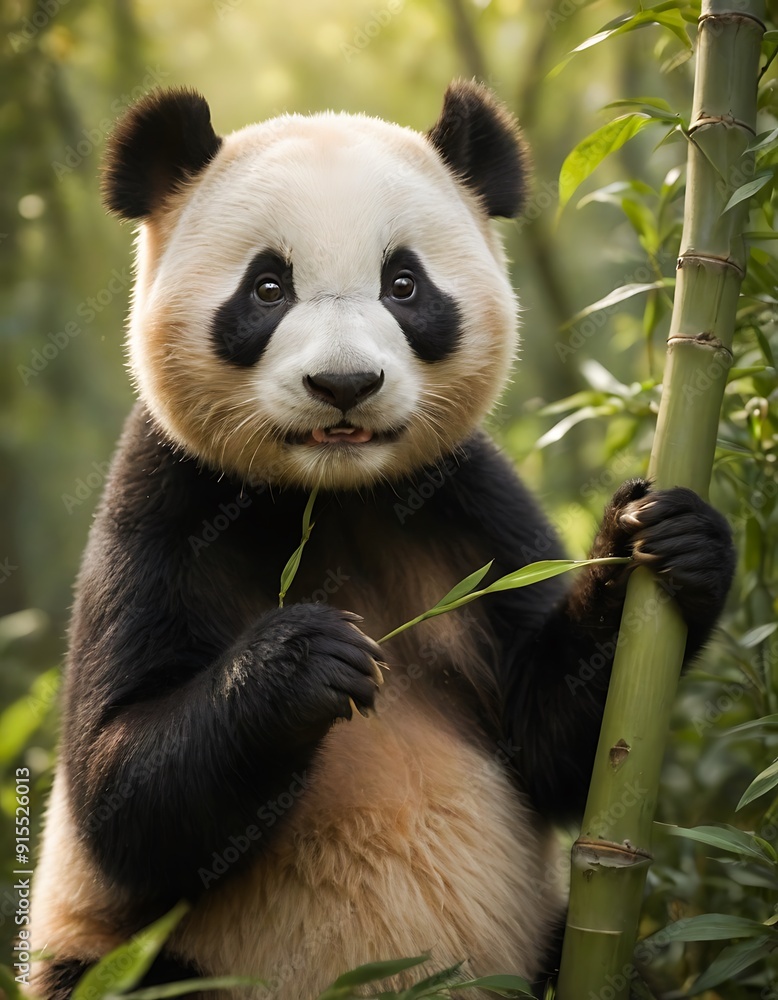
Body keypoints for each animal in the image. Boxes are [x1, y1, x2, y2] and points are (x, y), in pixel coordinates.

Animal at [29, 82, 734, 999]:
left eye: (404, 284)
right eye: (267, 288)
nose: (344, 384)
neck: (329, 497)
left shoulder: (462, 506)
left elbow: (559, 740)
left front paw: (666, 539)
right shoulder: (166, 503)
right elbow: (117, 790)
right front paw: (305, 661)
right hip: (140, 962)